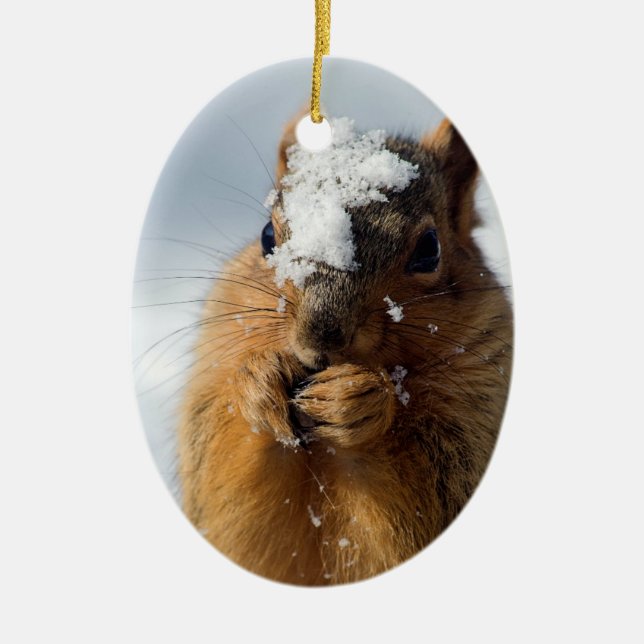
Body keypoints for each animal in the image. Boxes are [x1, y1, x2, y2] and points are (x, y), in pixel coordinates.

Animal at [178, 115, 512, 585]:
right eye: (267, 236)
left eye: (430, 249)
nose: (321, 337)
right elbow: (227, 508)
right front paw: (260, 385)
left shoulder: (474, 413)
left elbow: (421, 504)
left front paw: (358, 401)